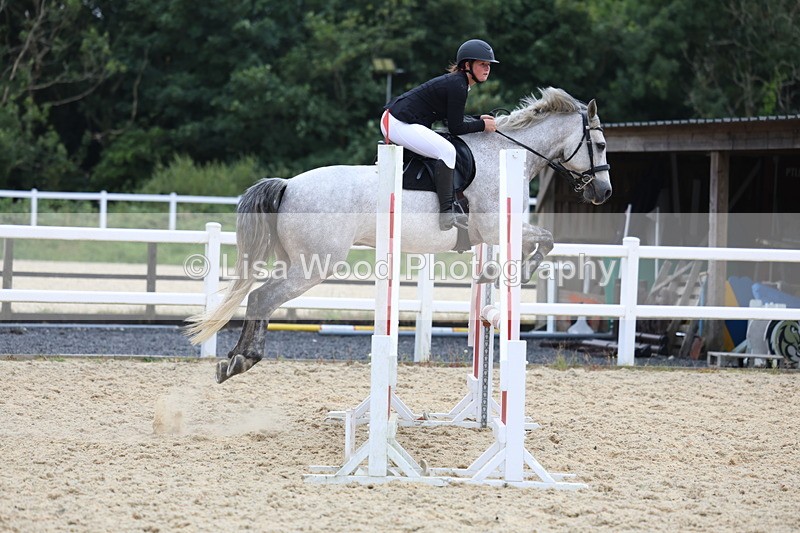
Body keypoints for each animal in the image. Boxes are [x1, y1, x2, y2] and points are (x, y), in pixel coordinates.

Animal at [186, 87, 612, 383]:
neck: (504, 155)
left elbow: (541, 241)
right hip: (316, 264)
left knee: (259, 297)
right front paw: (507, 274)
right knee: (264, 297)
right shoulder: (495, 227)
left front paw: (492, 275)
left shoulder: (493, 234)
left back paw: (233, 360)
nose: (603, 193)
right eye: (601, 144)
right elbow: (545, 239)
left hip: (298, 259)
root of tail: (289, 185)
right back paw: (242, 360)